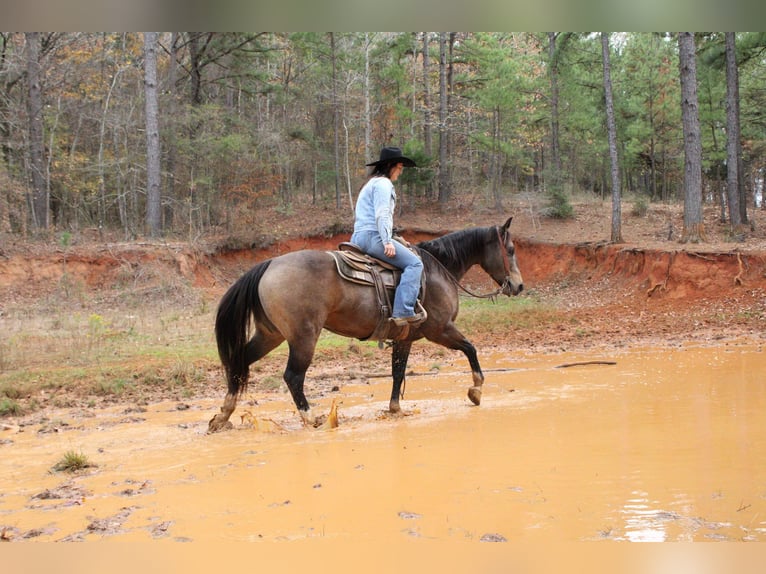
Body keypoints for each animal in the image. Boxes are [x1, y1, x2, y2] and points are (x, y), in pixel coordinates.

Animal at [207, 218, 524, 434]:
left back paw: (222, 416)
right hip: (303, 337)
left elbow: (397, 373)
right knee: (293, 376)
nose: (519, 286)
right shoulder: (440, 329)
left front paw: (395, 409)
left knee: (238, 364)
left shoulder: (405, 338)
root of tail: (270, 264)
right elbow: (471, 349)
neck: (437, 270)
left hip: (269, 335)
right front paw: (476, 390)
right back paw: (311, 418)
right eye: (510, 249)